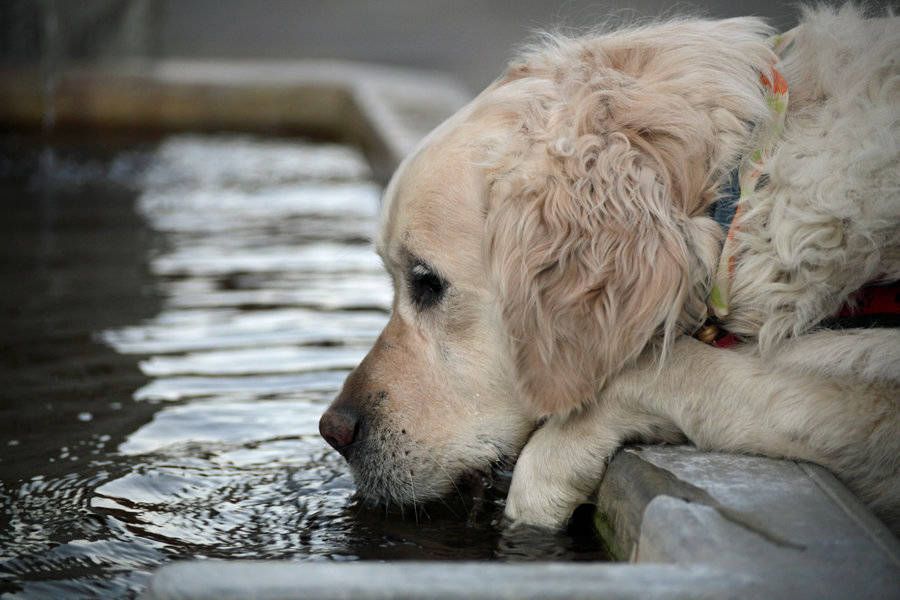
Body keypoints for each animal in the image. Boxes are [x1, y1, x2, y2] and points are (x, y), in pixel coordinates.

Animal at [320, 3, 900, 528]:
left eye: (425, 281)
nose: (333, 432)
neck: (747, 193)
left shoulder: (870, 407)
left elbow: (674, 367)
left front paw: (546, 470)